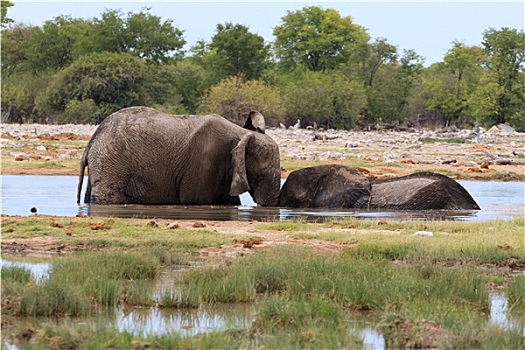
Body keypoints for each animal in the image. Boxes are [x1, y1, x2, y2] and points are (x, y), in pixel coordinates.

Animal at [76, 106, 280, 205]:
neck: (240, 133)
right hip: (112, 163)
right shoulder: (204, 165)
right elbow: (195, 200)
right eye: (261, 174)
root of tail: (93, 139)